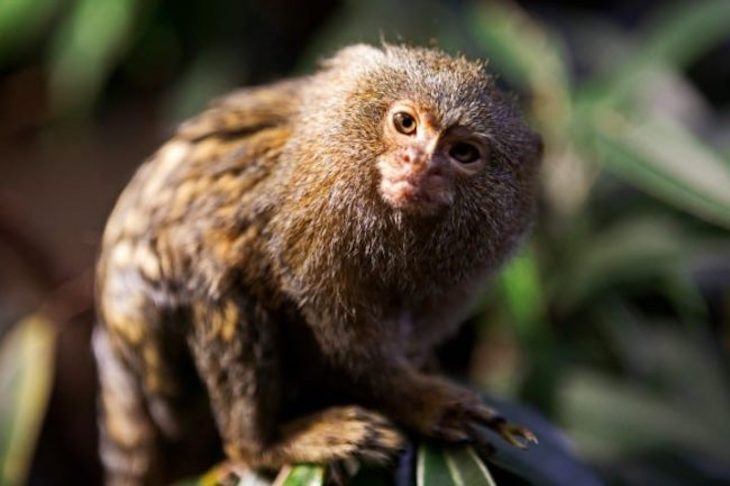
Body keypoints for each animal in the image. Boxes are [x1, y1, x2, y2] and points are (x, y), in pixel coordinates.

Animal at [93, 43, 543, 485]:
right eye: (405, 123)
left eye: (463, 152)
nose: (418, 162)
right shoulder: (308, 238)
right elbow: (349, 356)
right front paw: (426, 403)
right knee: (219, 288)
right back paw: (264, 444)